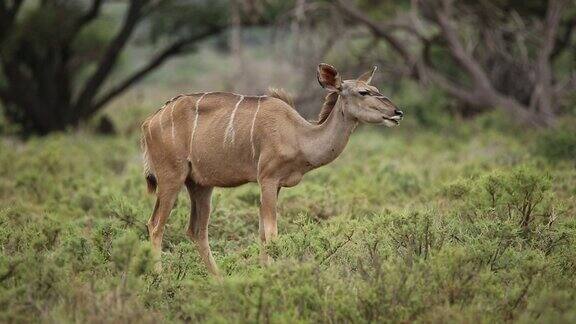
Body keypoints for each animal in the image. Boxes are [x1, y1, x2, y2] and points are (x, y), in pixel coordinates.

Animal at [140, 64, 402, 276]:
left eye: (375, 88)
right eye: (363, 92)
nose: (397, 112)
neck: (298, 135)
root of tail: (149, 122)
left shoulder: (276, 186)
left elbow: (262, 233)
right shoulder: (267, 179)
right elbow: (272, 233)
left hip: (201, 185)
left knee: (196, 230)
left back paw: (219, 280)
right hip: (172, 177)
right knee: (156, 224)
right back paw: (159, 278)